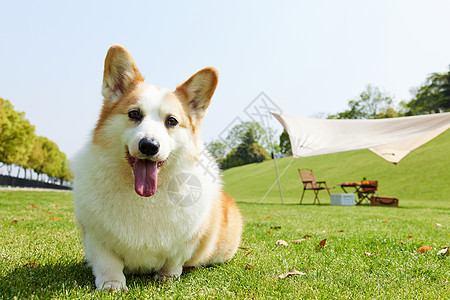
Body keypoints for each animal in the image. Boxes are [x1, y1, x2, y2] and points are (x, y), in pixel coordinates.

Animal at [73, 44, 243, 290]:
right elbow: (107, 262)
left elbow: (174, 259)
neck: (145, 197)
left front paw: (167, 277)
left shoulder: (186, 241)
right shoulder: (97, 236)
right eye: (134, 114)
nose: (149, 146)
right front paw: (112, 284)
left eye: (171, 121)